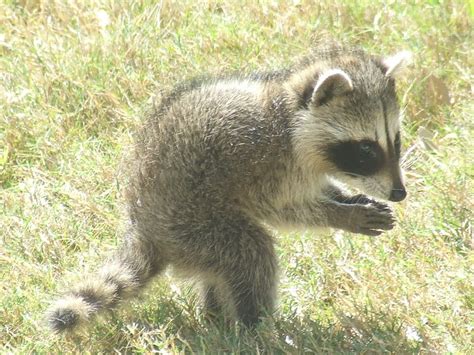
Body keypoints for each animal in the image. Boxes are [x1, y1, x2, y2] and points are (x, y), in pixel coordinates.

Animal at [47, 45, 412, 334]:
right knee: (251, 252)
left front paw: (346, 198)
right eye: (366, 150)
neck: (290, 122)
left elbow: (317, 190)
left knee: (222, 268)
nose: (400, 193)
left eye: (395, 141)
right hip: (192, 224)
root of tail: (144, 226)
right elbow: (281, 210)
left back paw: (217, 318)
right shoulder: (260, 162)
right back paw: (257, 328)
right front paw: (340, 215)